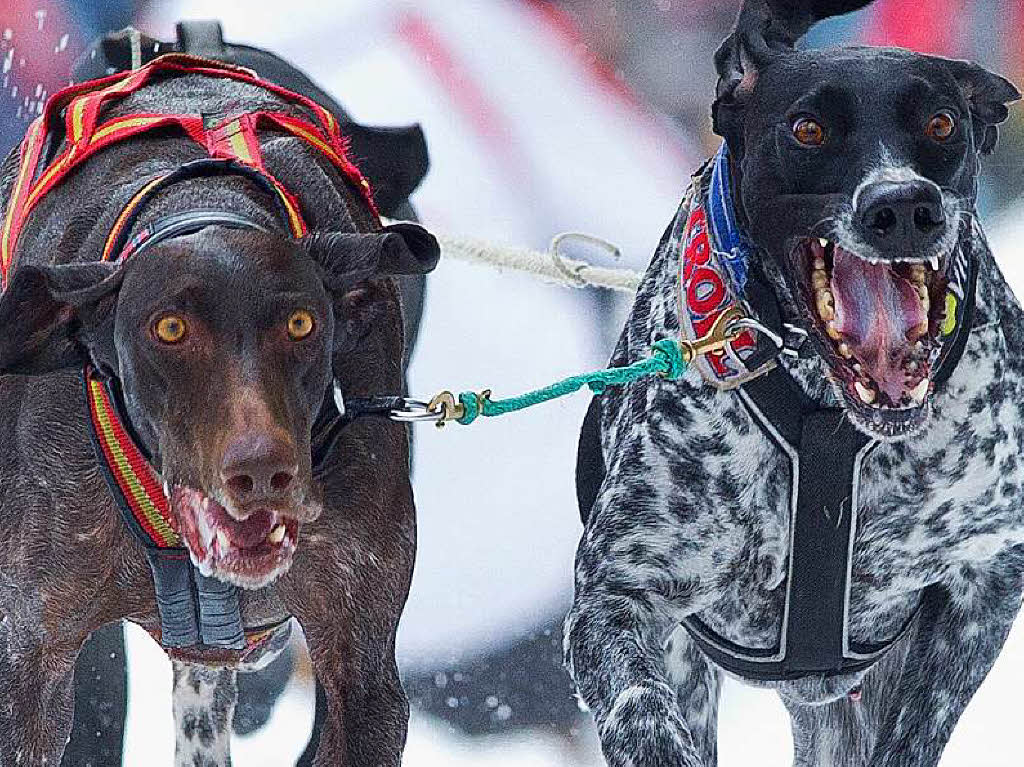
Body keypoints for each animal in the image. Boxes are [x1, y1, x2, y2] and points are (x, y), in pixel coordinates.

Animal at [569, 1, 1024, 765]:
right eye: (808, 128)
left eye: (941, 123)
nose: (903, 205)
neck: (827, 419)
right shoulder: (620, 591)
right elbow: (642, 712)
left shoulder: (987, 575)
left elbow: (914, 729)